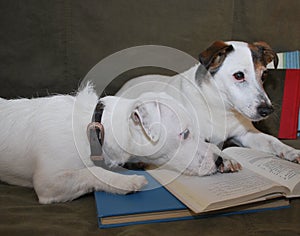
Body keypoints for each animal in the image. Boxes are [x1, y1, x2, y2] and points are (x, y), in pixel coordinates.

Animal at [0, 85, 237, 204]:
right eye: (185, 133)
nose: (218, 160)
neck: (95, 128)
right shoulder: (47, 183)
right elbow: (92, 172)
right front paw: (127, 182)